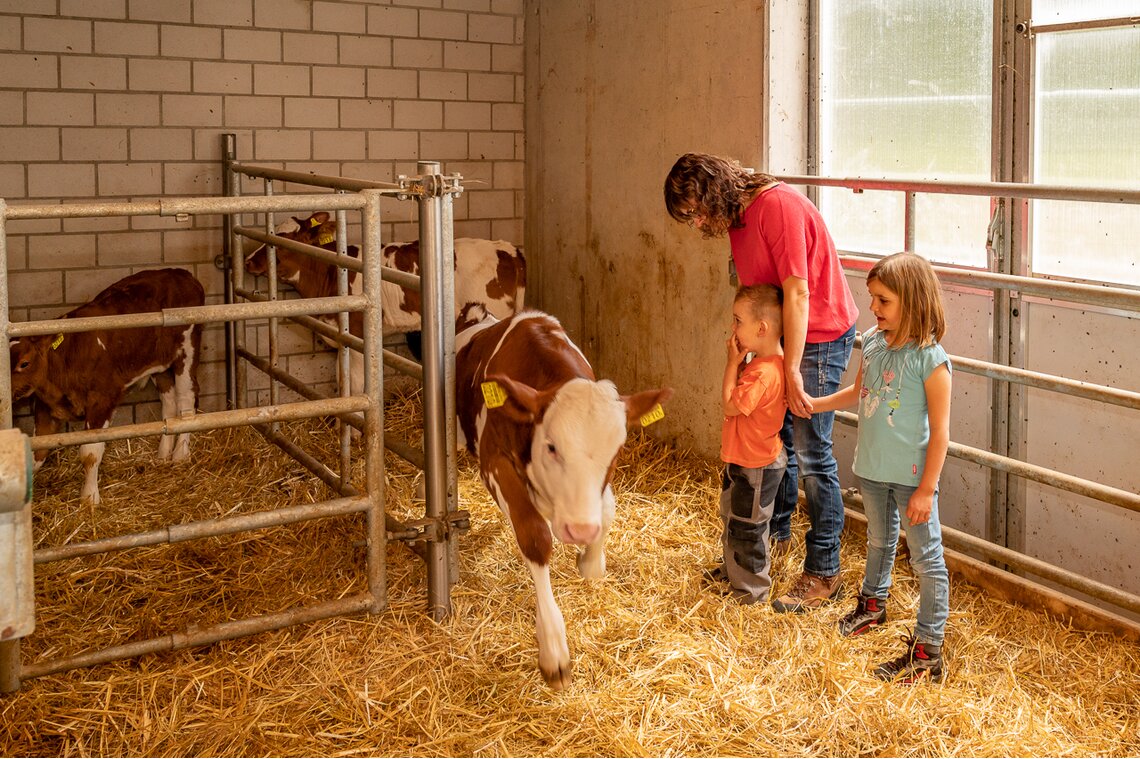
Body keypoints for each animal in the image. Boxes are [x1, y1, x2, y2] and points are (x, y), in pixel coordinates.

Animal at [9, 265, 205, 501]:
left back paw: (180, 455)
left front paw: (90, 498)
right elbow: (38, 451)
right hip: (160, 366)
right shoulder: (45, 406)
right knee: (169, 403)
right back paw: (163, 453)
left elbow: (90, 454)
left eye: (24, 363)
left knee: (186, 399)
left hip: (187, 352)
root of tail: (182, 273)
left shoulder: (102, 401)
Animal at [451, 300, 665, 683]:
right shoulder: (494, 462)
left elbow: (606, 514)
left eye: (618, 450)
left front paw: (591, 560)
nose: (579, 530)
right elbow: (535, 537)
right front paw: (553, 647)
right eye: (551, 446)